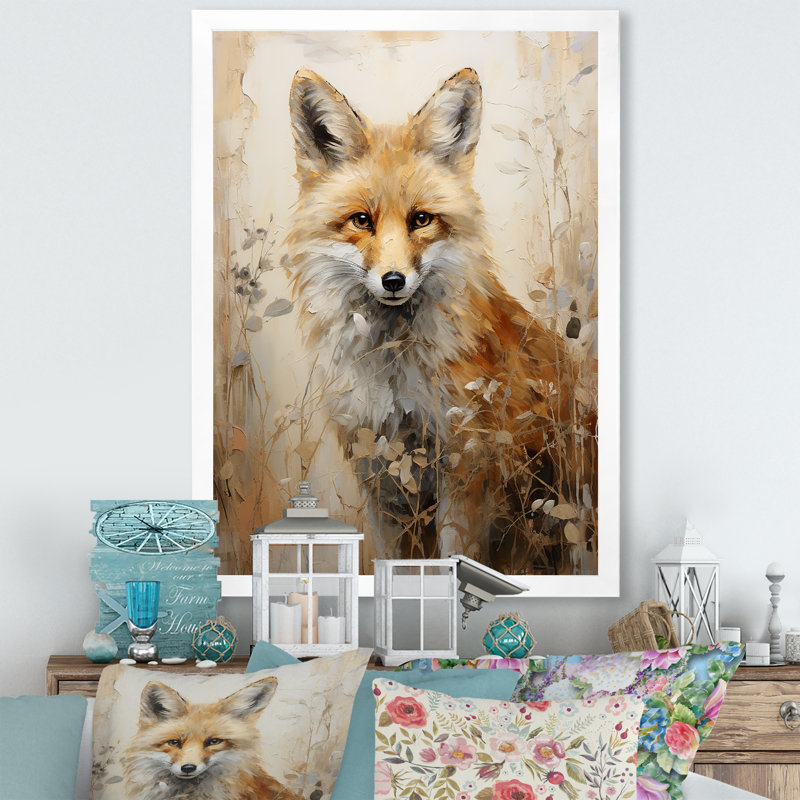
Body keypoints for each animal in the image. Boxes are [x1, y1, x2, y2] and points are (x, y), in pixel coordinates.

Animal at [286, 67, 596, 569]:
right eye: (361, 221)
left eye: (422, 220)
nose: (393, 280)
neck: (394, 374)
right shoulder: (378, 472)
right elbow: (389, 557)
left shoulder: (466, 464)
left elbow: (457, 556)